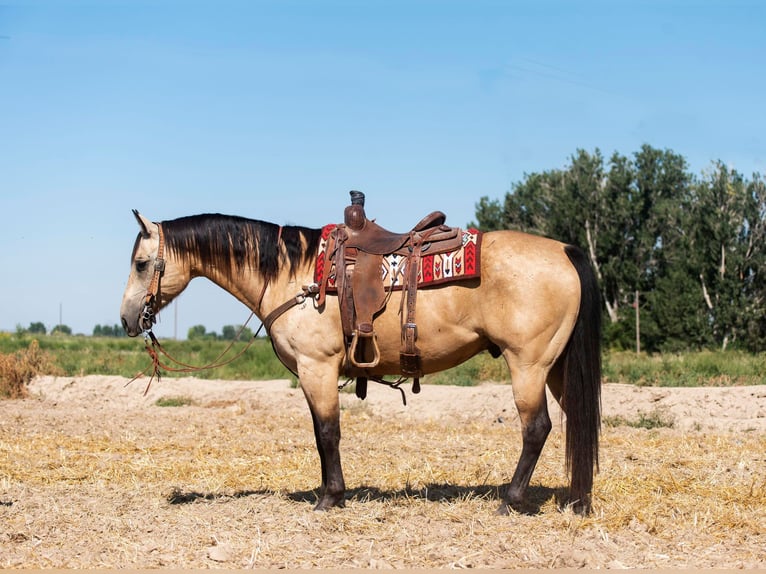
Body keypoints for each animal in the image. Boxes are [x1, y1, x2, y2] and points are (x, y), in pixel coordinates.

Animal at [120, 196, 604, 516]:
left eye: (141, 264)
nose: (126, 318)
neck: (292, 274)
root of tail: (564, 250)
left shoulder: (316, 368)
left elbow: (327, 434)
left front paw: (330, 497)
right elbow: (322, 435)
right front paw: (330, 492)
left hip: (528, 365)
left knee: (536, 428)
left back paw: (512, 500)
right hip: (556, 369)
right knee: (576, 422)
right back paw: (578, 500)